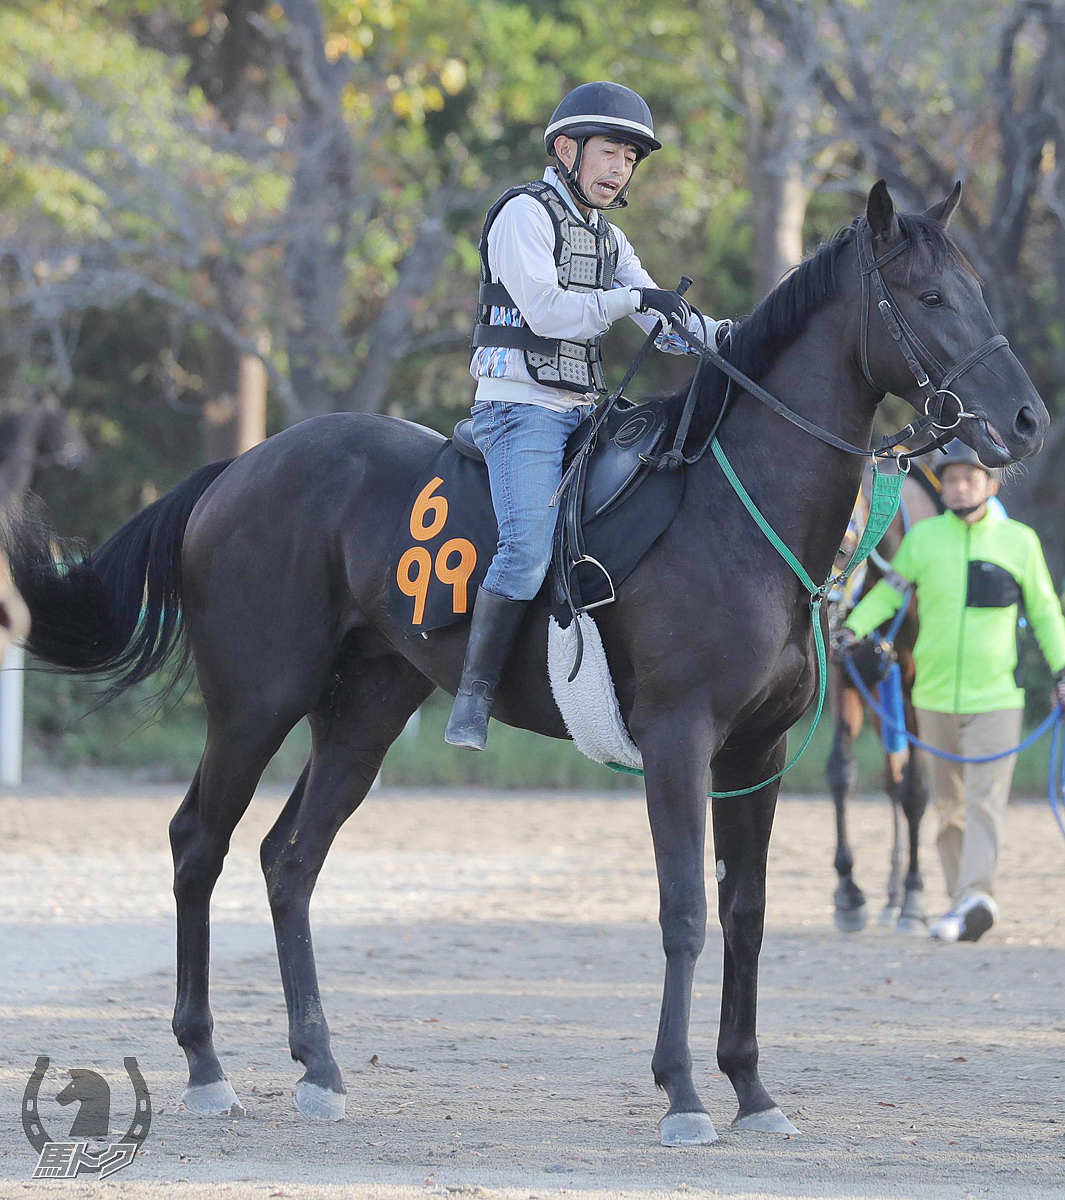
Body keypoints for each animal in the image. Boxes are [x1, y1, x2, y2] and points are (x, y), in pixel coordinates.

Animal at [4, 182, 1045, 1147]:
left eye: (975, 290)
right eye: (928, 295)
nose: (1028, 420)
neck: (733, 513)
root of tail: (243, 468)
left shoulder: (753, 756)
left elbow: (744, 913)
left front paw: (751, 1089)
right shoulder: (678, 743)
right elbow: (683, 911)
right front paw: (681, 1092)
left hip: (365, 711)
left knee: (288, 859)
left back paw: (319, 1067)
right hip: (257, 703)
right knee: (198, 844)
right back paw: (207, 1063)